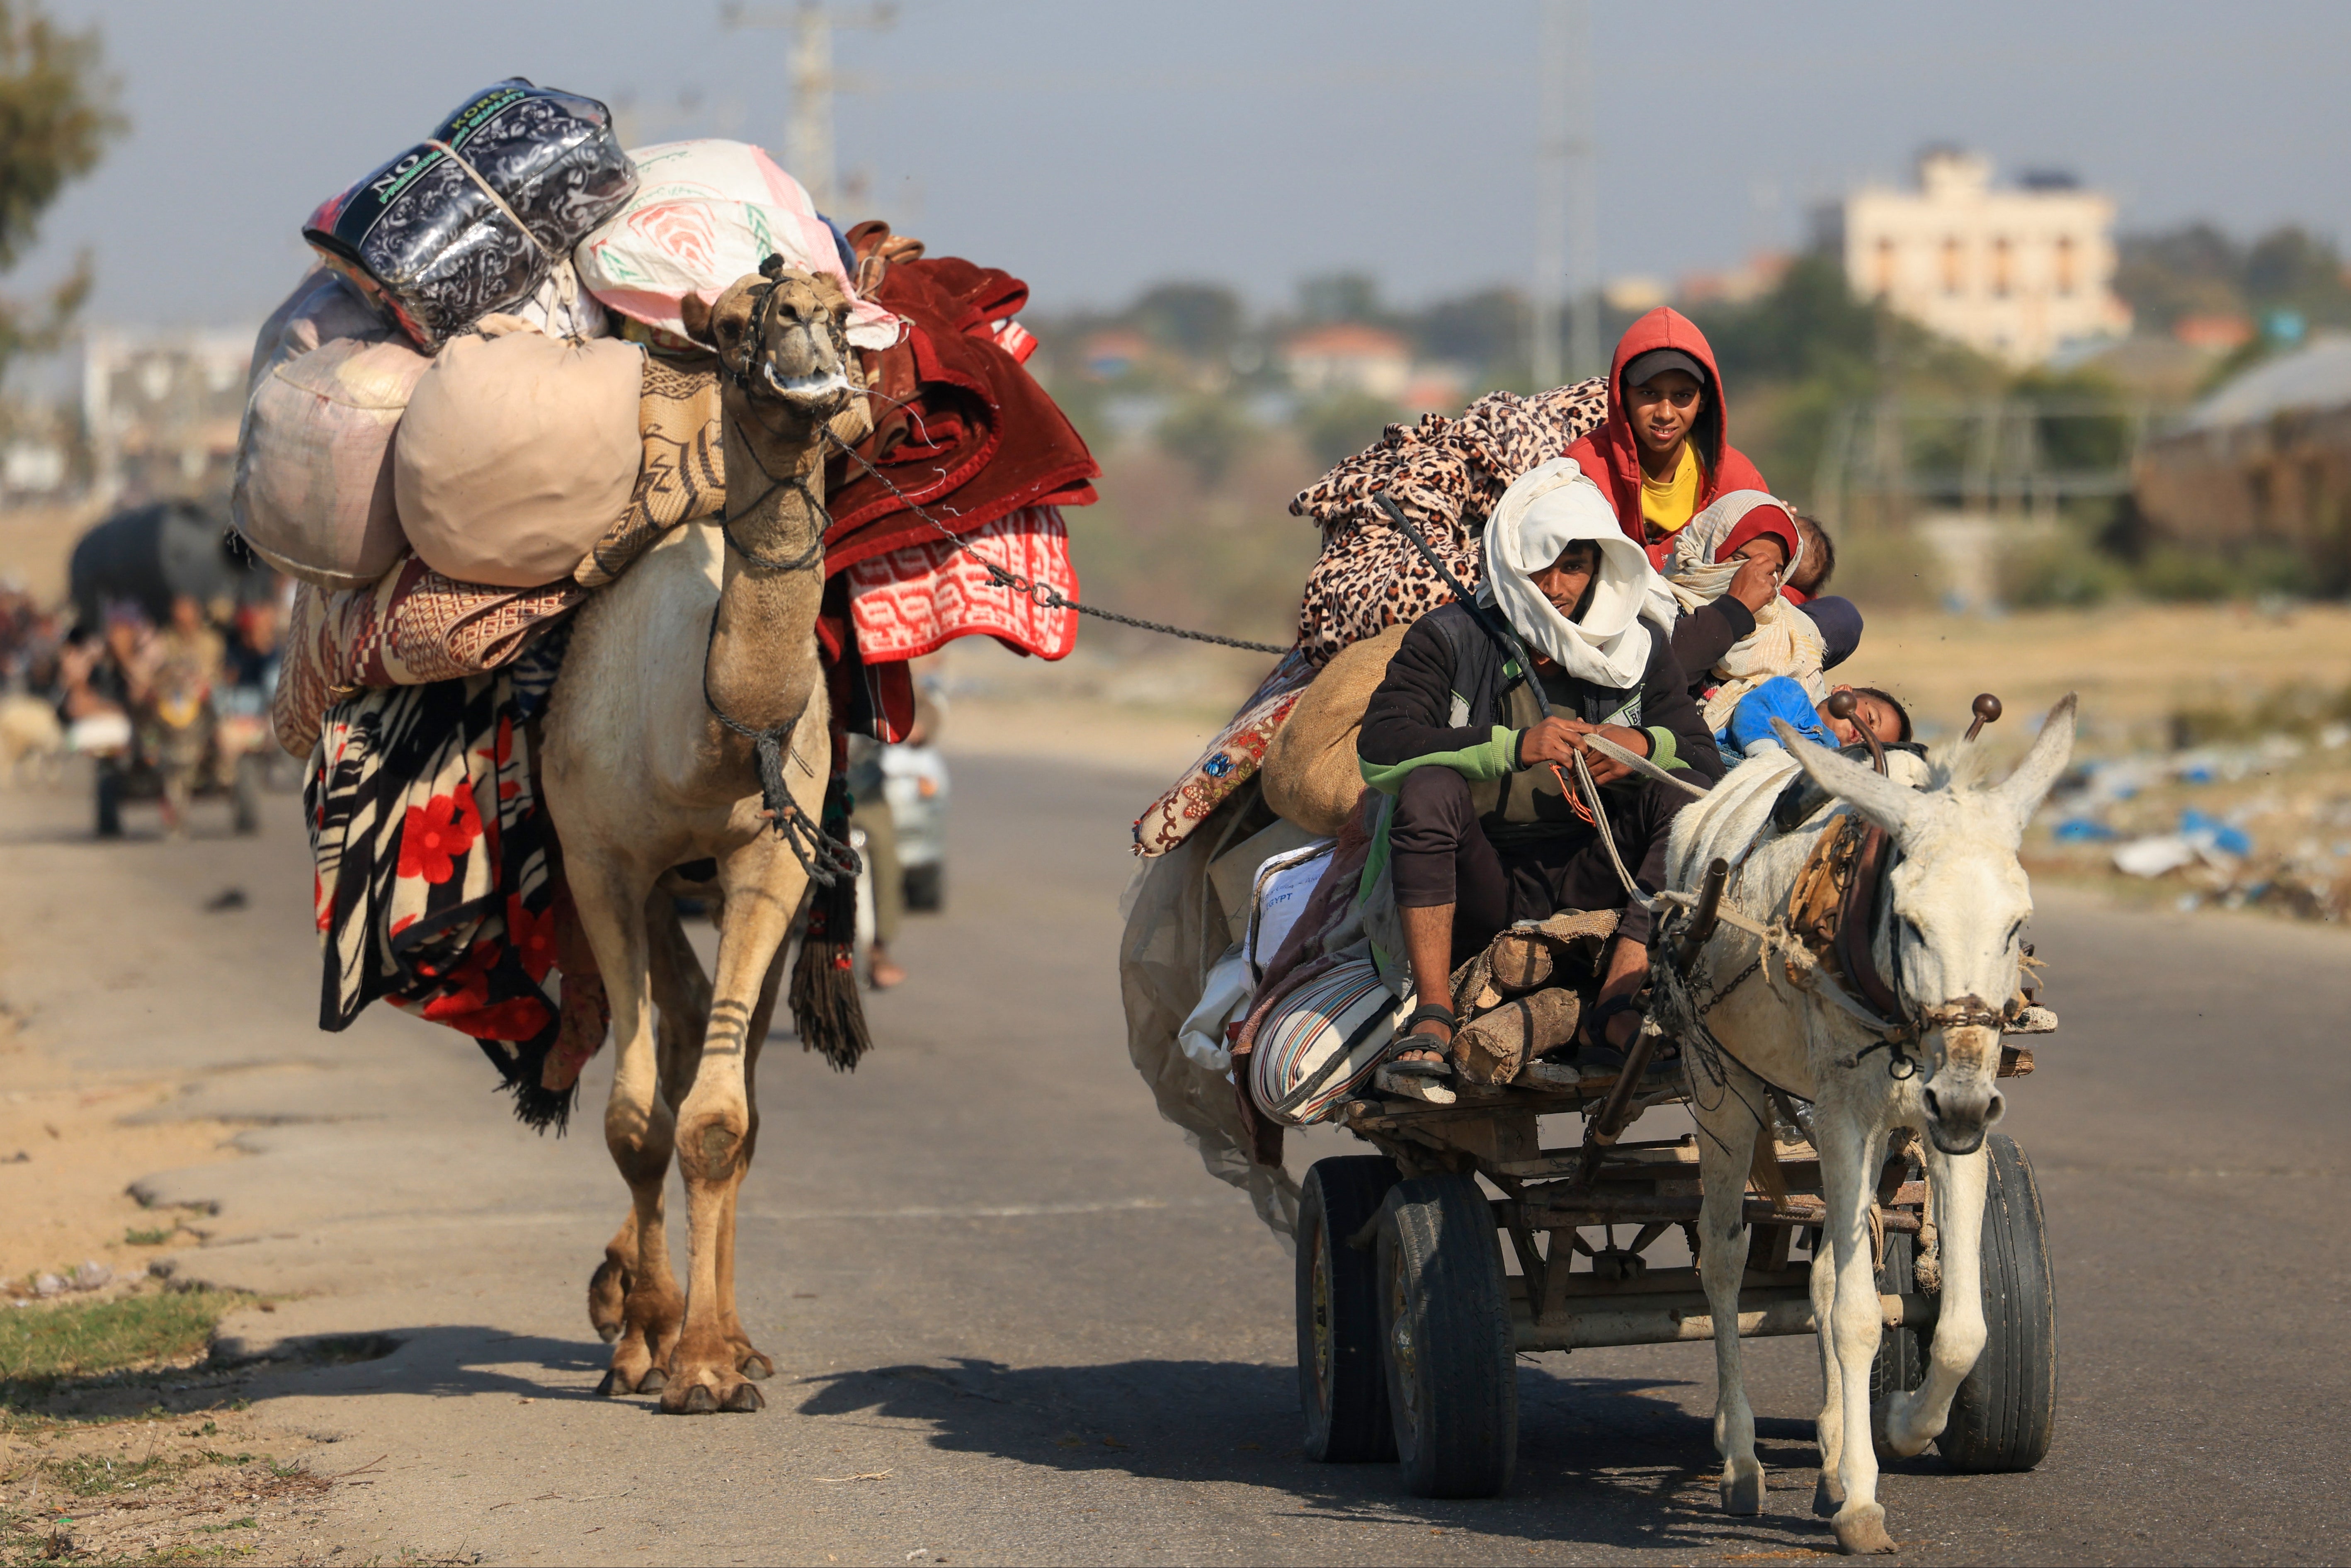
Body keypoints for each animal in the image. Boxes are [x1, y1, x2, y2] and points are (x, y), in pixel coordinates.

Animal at [541, 263, 874, 1420]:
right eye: (731, 326)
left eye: (842, 309)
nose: (804, 328)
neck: (708, 734)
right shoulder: (600, 862)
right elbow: (634, 1121)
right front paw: (645, 1339)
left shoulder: (771, 857)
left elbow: (718, 1123)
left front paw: (707, 1364)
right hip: (641, 883)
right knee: (676, 1042)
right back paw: (638, 1323)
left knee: (730, 1085)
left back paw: (728, 1338)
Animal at [1655, 700, 2078, 1561]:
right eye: (1911, 924)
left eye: (2017, 925)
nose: (1961, 1104)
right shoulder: (1848, 1113)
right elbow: (1855, 1316)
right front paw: (1859, 1501)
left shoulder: (1947, 1120)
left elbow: (1962, 1325)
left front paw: (1902, 1426)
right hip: (1723, 1090)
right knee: (1723, 1258)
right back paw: (1741, 1457)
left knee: (1823, 1273)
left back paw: (1827, 1449)